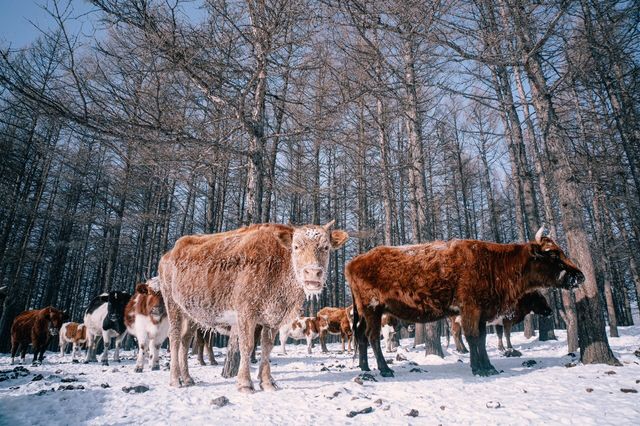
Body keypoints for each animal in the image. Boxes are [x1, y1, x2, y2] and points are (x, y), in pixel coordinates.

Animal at [160, 221, 350, 392]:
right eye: (296, 247)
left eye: (326, 247)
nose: (313, 273)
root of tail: (167, 255)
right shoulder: (246, 313)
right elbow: (247, 345)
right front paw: (245, 384)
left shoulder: (273, 318)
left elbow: (266, 347)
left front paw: (267, 383)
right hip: (173, 305)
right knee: (174, 338)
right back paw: (175, 380)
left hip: (191, 314)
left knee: (185, 341)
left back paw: (187, 378)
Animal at [348, 226, 584, 376]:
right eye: (553, 254)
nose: (579, 276)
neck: (493, 263)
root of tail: (353, 261)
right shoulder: (470, 309)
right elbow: (472, 337)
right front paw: (480, 368)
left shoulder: (483, 313)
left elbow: (481, 338)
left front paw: (487, 366)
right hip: (373, 309)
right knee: (372, 337)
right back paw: (385, 370)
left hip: (366, 312)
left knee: (360, 335)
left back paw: (365, 368)